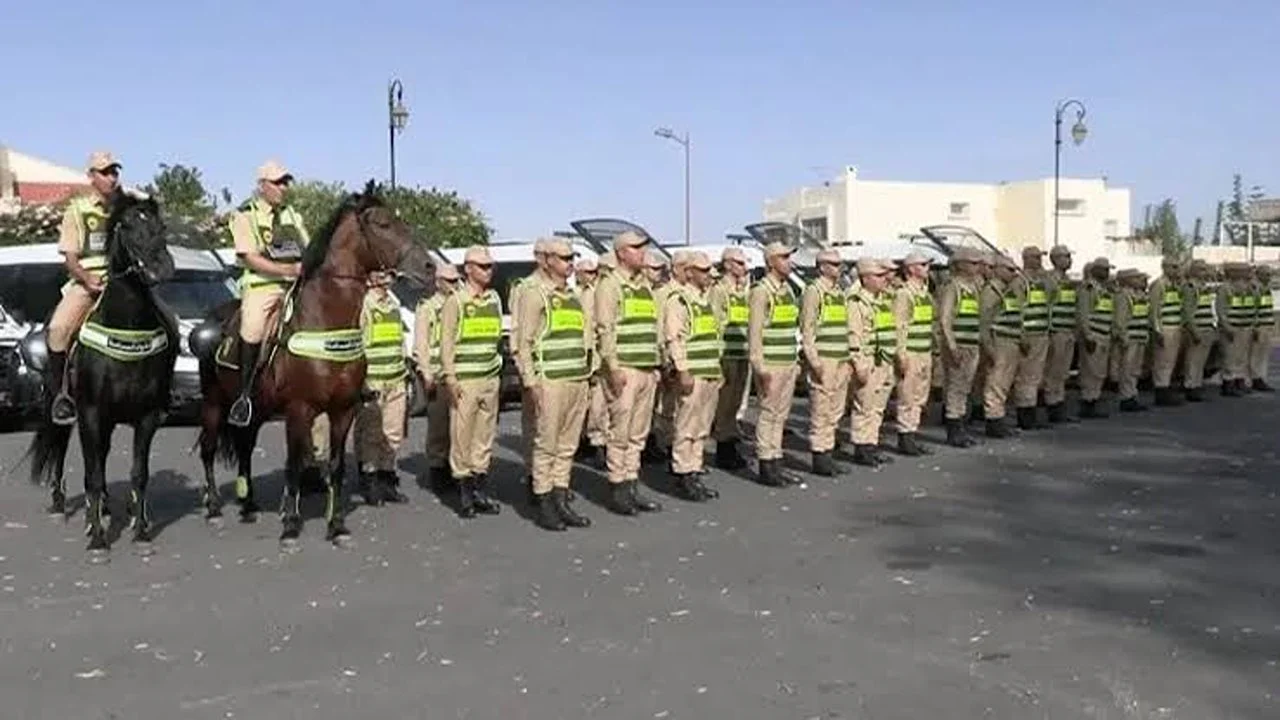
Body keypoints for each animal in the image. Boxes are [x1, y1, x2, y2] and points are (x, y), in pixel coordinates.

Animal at [29, 192, 180, 561]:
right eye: (127, 225)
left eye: (161, 226)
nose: (162, 267)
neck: (126, 327)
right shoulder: (90, 413)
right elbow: (92, 476)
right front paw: (97, 539)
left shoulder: (146, 416)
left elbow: (139, 474)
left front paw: (140, 531)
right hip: (66, 411)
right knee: (61, 449)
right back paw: (62, 505)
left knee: (102, 454)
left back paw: (106, 509)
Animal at [194, 181, 432, 545]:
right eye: (382, 224)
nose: (430, 267)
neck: (325, 320)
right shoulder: (299, 410)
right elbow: (295, 463)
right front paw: (291, 524)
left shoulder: (343, 411)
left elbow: (335, 467)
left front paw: (336, 525)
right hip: (213, 403)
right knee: (208, 449)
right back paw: (214, 508)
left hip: (255, 410)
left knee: (245, 449)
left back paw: (248, 506)